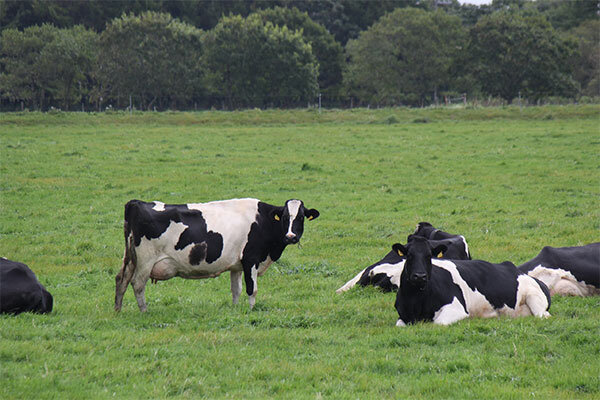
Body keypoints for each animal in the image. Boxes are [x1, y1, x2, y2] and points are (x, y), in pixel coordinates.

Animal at [113, 198, 318, 310]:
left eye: (301, 217)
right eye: (284, 217)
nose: (291, 236)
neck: (262, 221)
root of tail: (135, 203)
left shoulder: (236, 265)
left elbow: (236, 290)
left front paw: (235, 309)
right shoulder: (251, 259)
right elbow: (252, 289)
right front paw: (251, 310)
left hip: (130, 258)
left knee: (121, 280)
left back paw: (118, 309)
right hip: (145, 261)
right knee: (137, 284)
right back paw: (144, 310)